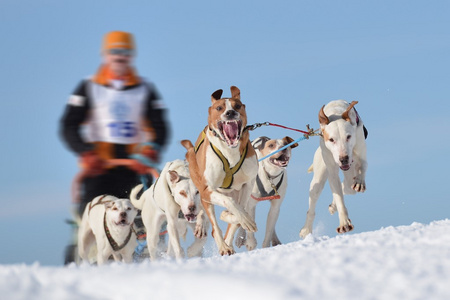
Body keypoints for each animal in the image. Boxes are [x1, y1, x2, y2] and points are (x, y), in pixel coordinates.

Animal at [179, 85, 256, 255]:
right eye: (219, 108)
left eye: (237, 106)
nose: (230, 113)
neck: (230, 151)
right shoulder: (207, 190)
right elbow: (230, 204)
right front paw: (240, 218)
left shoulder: (247, 184)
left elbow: (239, 213)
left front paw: (239, 218)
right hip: (205, 192)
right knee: (214, 227)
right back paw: (223, 245)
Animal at [298, 100, 370, 237]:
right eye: (331, 139)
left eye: (348, 136)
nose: (344, 159)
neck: (336, 113)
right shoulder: (332, 171)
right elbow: (338, 194)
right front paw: (344, 223)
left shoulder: (360, 153)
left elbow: (363, 166)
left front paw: (359, 181)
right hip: (318, 181)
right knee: (313, 205)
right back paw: (306, 229)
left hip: (349, 176)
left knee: (346, 186)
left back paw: (333, 205)